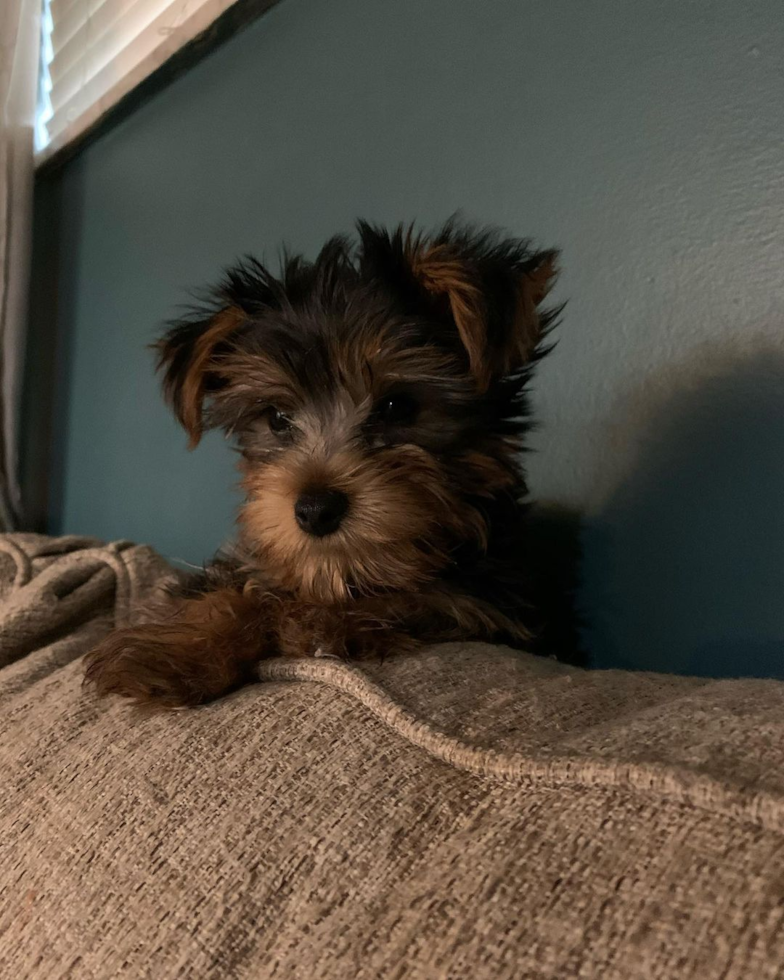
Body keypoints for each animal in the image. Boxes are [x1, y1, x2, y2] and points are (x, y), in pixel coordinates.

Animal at [86, 222, 560, 708]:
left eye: (398, 407)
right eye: (277, 418)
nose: (315, 509)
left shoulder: (493, 599)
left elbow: (427, 595)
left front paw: (326, 619)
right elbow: (231, 588)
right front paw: (176, 650)